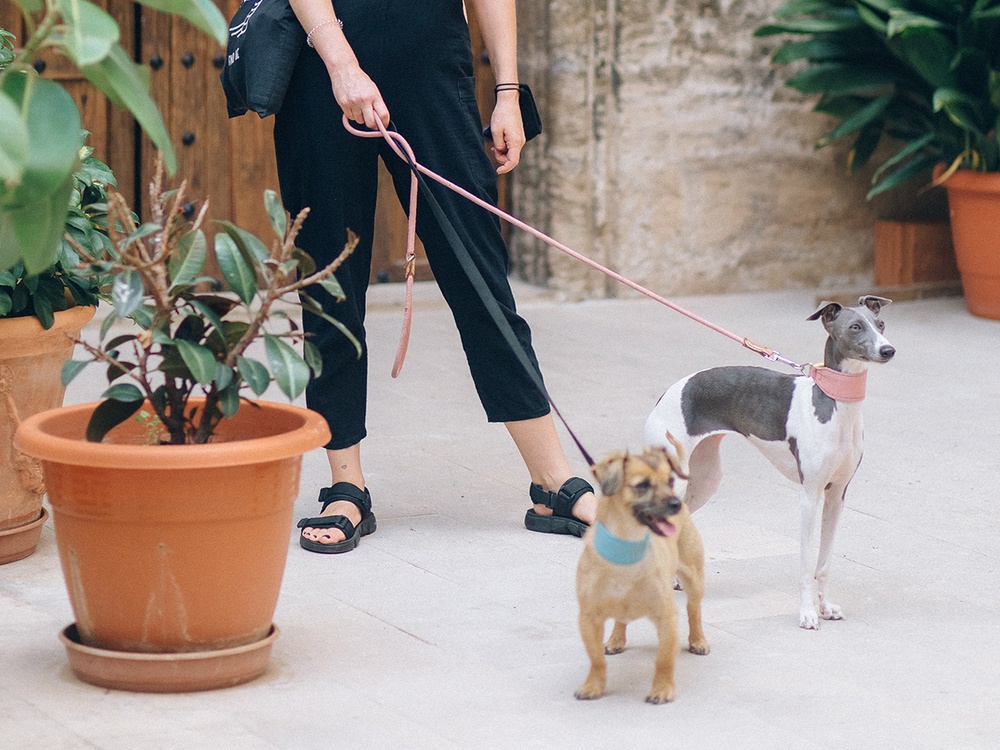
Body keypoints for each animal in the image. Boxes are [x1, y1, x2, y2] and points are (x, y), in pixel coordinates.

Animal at [576, 440, 708, 704]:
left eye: (669, 481)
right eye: (642, 486)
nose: (675, 504)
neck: (627, 548)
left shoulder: (666, 618)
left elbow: (664, 660)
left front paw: (662, 689)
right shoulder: (588, 618)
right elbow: (596, 660)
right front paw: (593, 685)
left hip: (693, 578)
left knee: (694, 610)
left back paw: (697, 640)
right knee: (621, 620)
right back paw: (616, 640)